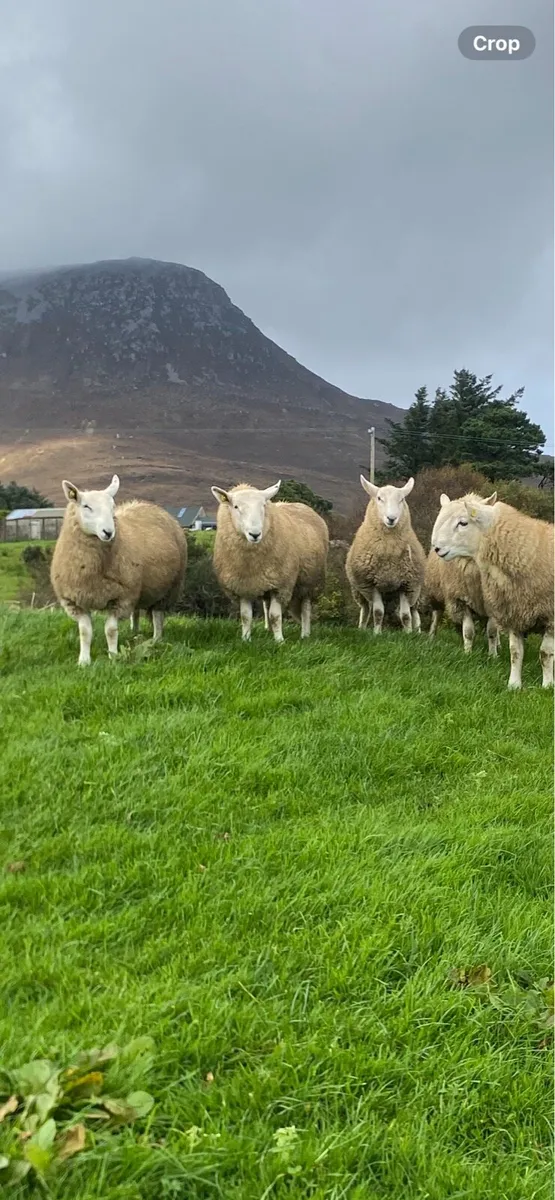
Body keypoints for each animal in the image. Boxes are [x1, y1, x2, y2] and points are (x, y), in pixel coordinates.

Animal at [50, 475, 187, 665]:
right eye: (86, 506)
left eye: (112, 506)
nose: (108, 532)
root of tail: (147, 505)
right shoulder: (76, 601)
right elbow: (85, 632)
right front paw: (84, 661)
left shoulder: (121, 597)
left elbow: (110, 630)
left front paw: (113, 656)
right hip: (138, 589)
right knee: (136, 613)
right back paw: (134, 632)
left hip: (169, 588)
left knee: (158, 616)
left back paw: (156, 640)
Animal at [210, 480, 329, 642]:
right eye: (236, 506)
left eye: (263, 505)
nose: (255, 534)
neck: (251, 562)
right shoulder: (243, 587)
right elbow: (246, 617)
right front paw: (246, 639)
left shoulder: (281, 585)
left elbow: (275, 616)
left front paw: (279, 641)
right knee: (267, 606)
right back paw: (269, 631)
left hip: (308, 581)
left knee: (305, 609)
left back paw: (305, 634)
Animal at [345, 476, 426, 634]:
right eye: (379, 498)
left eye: (402, 499)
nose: (391, 518)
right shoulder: (372, 583)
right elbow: (378, 612)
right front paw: (377, 633)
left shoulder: (407, 584)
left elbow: (406, 615)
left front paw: (408, 634)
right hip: (359, 590)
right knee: (366, 609)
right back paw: (362, 629)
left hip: (416, 592)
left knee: (414, 612)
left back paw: (418, 632)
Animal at [431, 491, 554, 689]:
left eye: (463, 522)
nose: (436, 548)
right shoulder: (515, 611)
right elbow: (515, 652)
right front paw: (514, 685)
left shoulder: (550, 616)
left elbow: (545, 653)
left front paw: (548, 685)